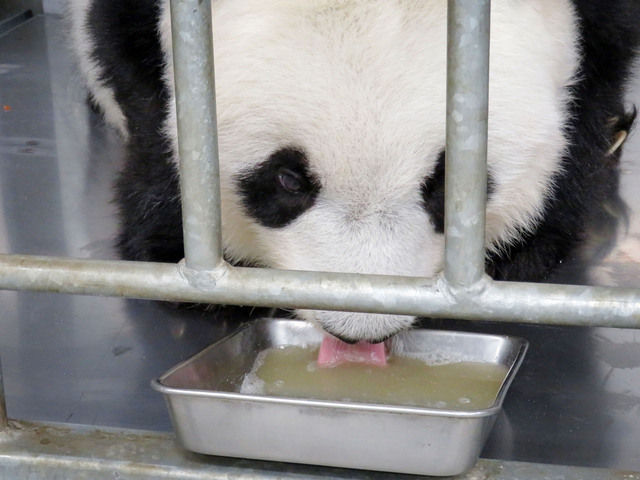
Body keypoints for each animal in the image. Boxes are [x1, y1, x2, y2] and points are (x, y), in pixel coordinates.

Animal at [66, 0, 640, 344]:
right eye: (288, 180)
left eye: (448, 183)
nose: (359, 331)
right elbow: (142, 83)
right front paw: (177, 248)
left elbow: (597, 78)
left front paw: (527, 245)